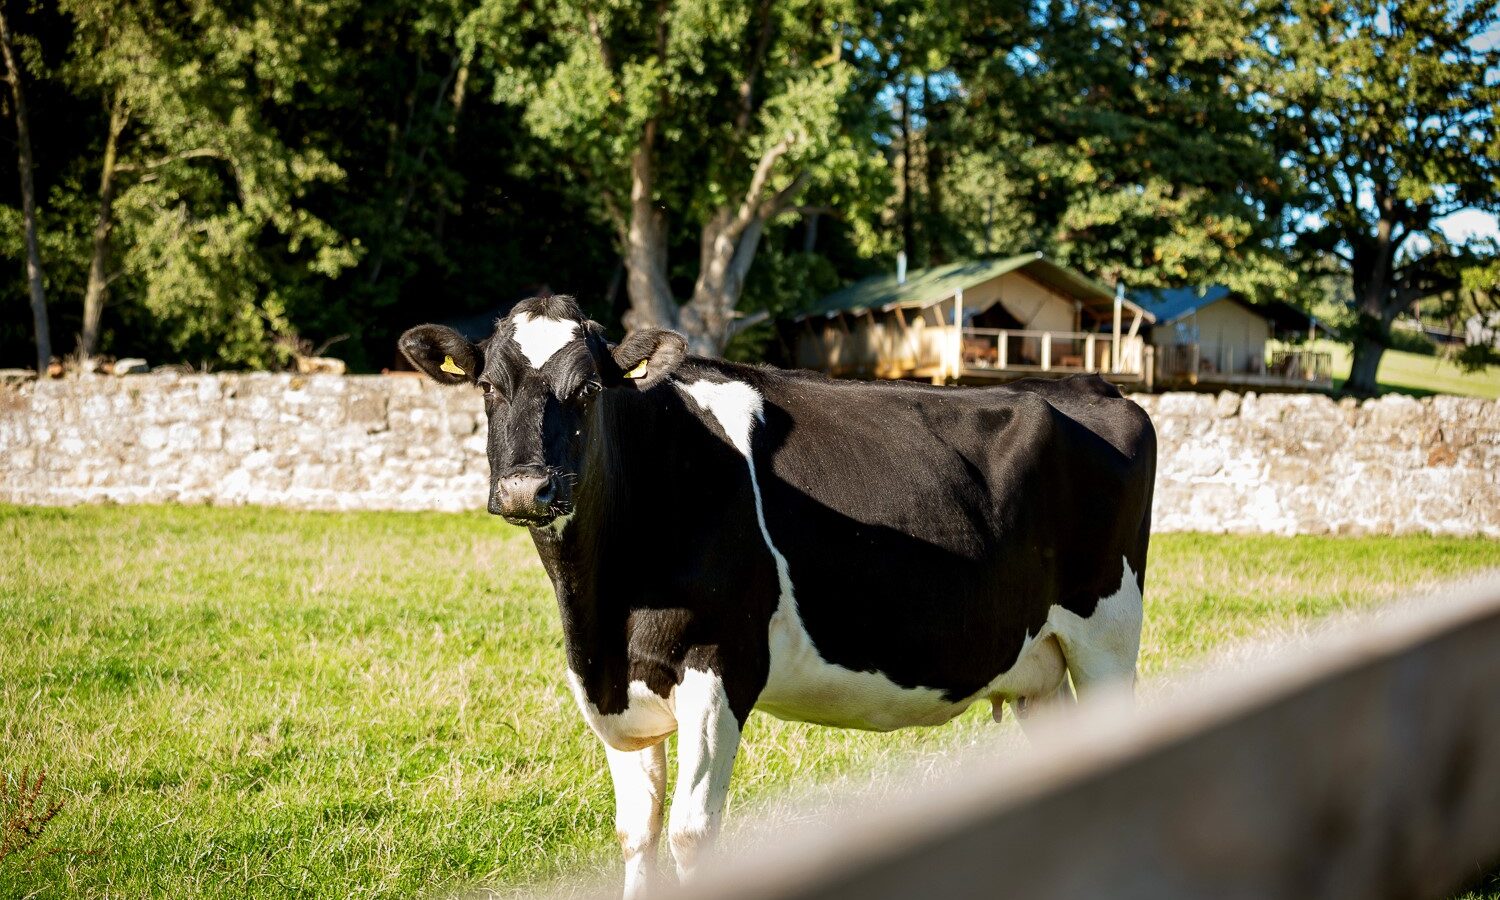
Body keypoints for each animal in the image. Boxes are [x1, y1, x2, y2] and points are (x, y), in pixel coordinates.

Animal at [402, 297, 1158, 900]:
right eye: (489, 387)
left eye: (588, 389)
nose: (527, 488)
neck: (602, 610)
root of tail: (1095, 386)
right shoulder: (614, 690)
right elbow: (636, 834)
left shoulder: (720, 662)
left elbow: (690, 835)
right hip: (1042, 668)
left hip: (1107, 639)